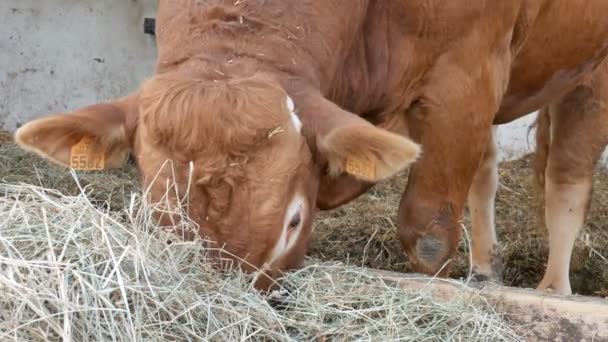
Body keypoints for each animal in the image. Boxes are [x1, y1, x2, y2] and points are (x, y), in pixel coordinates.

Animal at [14, 0, 608, 294]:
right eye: (148, 214)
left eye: (293, 222)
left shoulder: (465, 76)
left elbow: (429, 233)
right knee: (487, 167)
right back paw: (487, 270)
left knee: (566, 179)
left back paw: (555, 292)